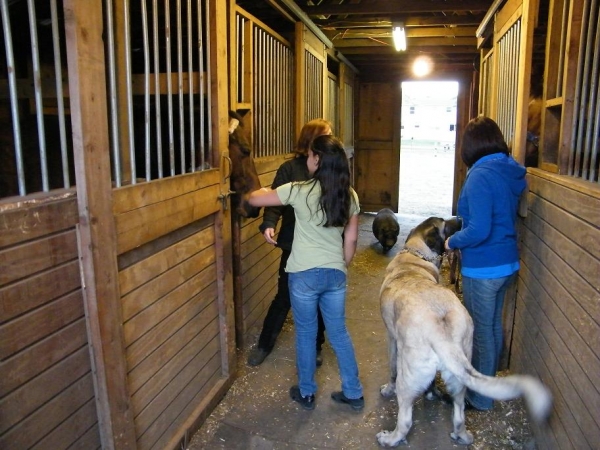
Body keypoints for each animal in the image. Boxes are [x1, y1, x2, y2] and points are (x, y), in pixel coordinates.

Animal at [378, 217, 552, 446]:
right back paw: (461, 435)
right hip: (460, 378)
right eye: (444, 223)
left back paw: (389, 438)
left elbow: (391, 370)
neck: (414, 257)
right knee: (459, 415)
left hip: (407, 379)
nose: (460, 218)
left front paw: (387, 390)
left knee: (405, 419)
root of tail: (441, 333)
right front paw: (432, 393)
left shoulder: (391, 339)